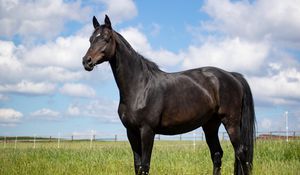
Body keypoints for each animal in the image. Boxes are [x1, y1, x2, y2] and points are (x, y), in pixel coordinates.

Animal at [82, 15, 255, 175]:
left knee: (241, 153)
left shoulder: (147, 131)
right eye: (91, 39)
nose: (86, 61)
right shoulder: (131, 132)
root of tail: (232, 76)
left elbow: (145, 166)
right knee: (217, 154)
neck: (140, 87)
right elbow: (137, 166)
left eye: (106, 38)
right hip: (210, 125)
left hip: (231, 123)